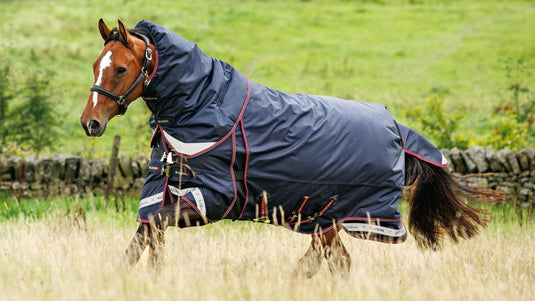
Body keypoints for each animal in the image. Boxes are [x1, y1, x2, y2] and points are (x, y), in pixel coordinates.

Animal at [80, 18, 502, 276]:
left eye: (120, 69)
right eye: (96, 65)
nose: (90, 123)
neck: (203, 104)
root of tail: (396, 128)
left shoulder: (210, 201)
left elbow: (153, 229)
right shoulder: (166, 191)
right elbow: (143, 237)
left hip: (341, 216)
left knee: (331, 262)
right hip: (323, 219)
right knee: (330, 261)